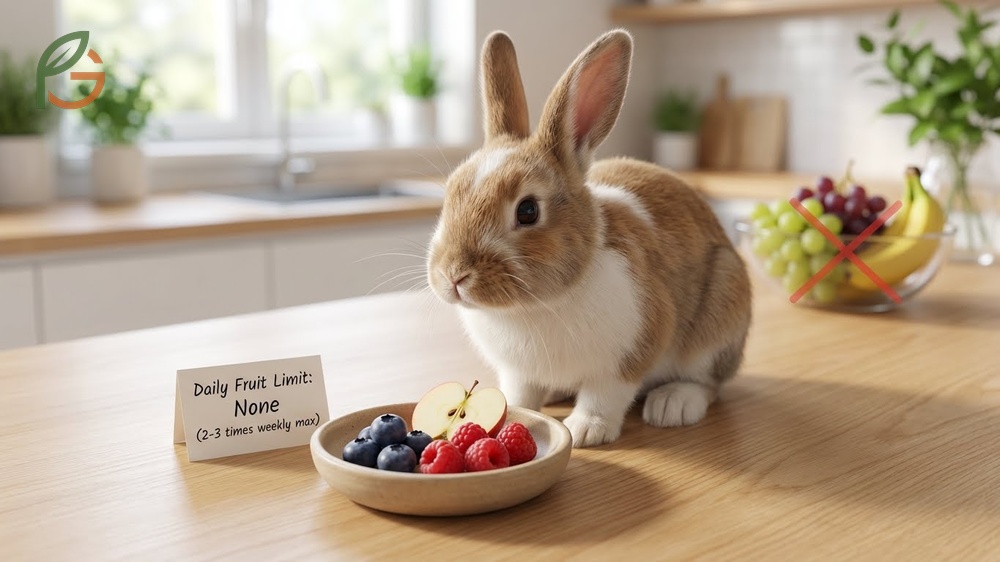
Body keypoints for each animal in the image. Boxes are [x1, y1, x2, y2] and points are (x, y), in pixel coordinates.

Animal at [426, 29, 752, 448]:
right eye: (451, 193)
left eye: (527, 211)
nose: (453, 275)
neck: (535, 307)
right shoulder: (518, 372)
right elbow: (522, 394)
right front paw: (514, 412)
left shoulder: (629, 354)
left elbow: (605, 396)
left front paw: (585, 431)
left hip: (720, 316)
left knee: (709, 384)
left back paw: (673, 404)